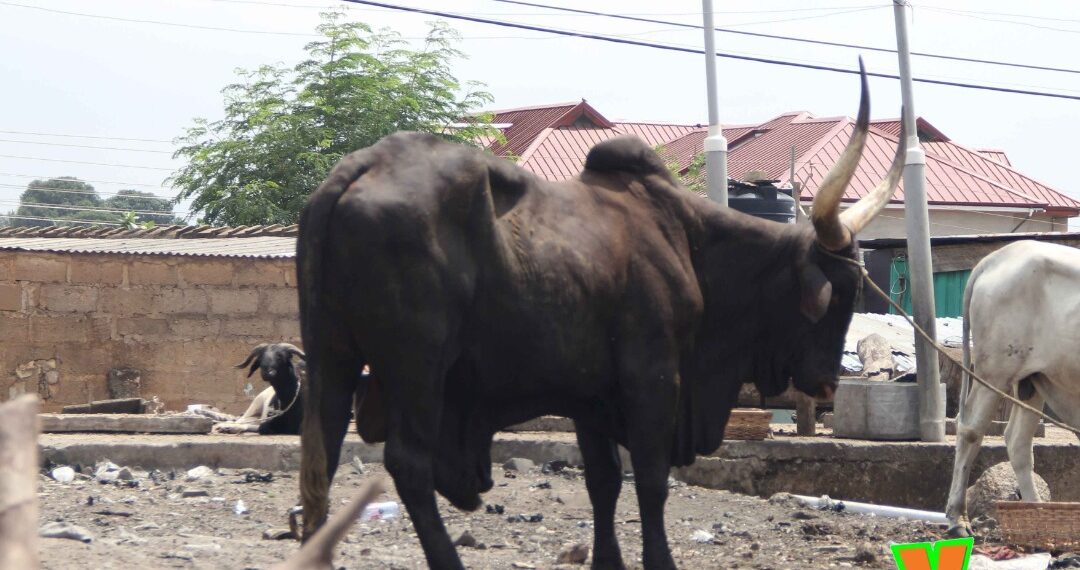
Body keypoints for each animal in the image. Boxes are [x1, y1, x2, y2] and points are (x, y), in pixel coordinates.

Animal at [296, 67, 904, 569]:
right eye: (841, 291)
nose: (826, 383)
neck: (690, 243)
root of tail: (362, 166)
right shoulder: (653, 381)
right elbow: (652, 481)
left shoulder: (589, 396)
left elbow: (605, 482)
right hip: (418, 369)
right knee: (408, 464)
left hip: (332, 359)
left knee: (320, 458)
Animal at [945, 240, 1080, 536]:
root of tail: (998, 256)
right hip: (994, 371)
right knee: (970, 430)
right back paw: (957, 519)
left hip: (1033, 379)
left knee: (1018, 441)